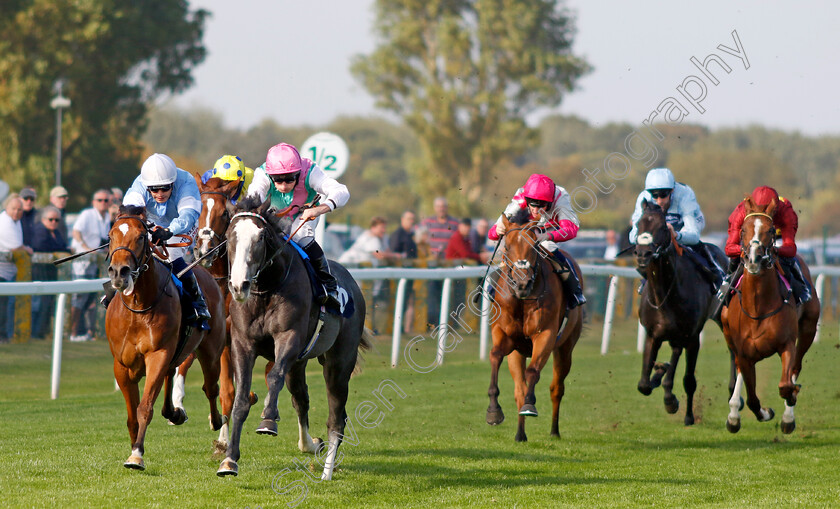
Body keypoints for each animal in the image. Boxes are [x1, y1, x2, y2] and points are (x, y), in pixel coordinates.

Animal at [105, 205, 226, 468]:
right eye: (110, 235)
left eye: (142, 236)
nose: (119, 272)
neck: (138, 307)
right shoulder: (121, 366)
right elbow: (131, 416)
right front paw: (134, 446)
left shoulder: (157, 354)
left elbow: (144, 408)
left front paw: (136, 454)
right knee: (173, 375)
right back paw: (175, 412)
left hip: (211, 351)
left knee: (211, 388)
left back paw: (217, 421)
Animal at [217, 196, 370, 478]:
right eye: (230, 235)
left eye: (261, 236)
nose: (239, 286)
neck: (266, 290)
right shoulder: (243, 344)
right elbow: (241, 400)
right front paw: (229, 460)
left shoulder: (288, 338)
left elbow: (274, 377)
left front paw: (268, 420)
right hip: (299, 363)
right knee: (301, 398)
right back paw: (310, 444)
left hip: (339, 363)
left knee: (336, 418)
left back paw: (326, 472)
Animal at [486, 209, 584, 440]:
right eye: (507, 247)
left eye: (534, 248)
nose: (522, 284)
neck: (522, 300)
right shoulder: (505, 335)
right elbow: (495, 356)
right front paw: (493, 411)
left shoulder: (545, 335)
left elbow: (533, 372)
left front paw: (530, 405)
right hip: (517, 352)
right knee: (519, 389)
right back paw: (520, 434)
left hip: (566, 347)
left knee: (556, 388)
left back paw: (554, 431)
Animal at [632, 198, 724, 424]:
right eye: (638, 224)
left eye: (663, 228)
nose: (643, 254)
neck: (665, 296)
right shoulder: (653, 335)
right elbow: (644, 384)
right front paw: (659, 373)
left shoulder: (687, 336)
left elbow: (682, 379)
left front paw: (675, 405)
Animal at [720, 196, 820, 430]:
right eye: (743, 230)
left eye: (771, 230)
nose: (754, 259)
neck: (758, 307)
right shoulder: (744, 353)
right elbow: (752, 399)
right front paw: (760, 412)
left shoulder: (787, 344)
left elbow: (785, 384)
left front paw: (790, 401)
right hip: (730, 336)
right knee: (739, 372)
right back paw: (733, 414)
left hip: (809, 329)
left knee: (796, 367)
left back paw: (788, 416)